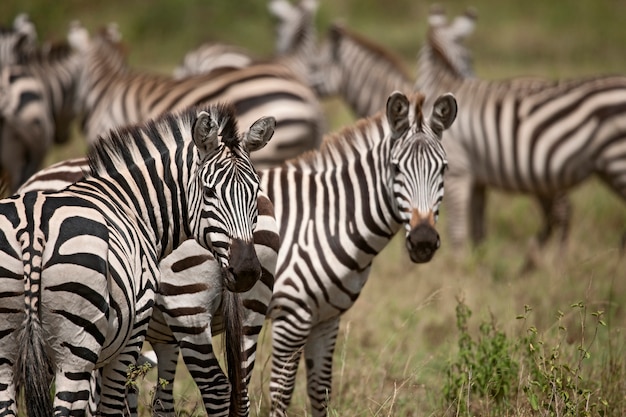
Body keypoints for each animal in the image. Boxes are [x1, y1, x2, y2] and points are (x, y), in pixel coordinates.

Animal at [0, 103, 272, 416]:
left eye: (255, 192)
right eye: (209, 191)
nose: (246, 271)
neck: (131, 204)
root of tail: (32, 228)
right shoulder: (131, 334)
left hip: (13, 348)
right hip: (79, 347)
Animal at [260, 91, 456, 416]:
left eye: (443, 169)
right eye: (395, 169)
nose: (423, 241)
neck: (321, 220)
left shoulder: (326, 318)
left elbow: (320, 391)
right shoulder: (291, 315)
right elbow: (280, 395)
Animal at [416, 8, 626, 264]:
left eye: (470, 57)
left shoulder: (458, 172)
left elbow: (458, 230)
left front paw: (458, 264)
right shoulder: (477, 178)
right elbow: (478, 228)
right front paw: (477, 262)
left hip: (615, 161)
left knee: (561, 213)